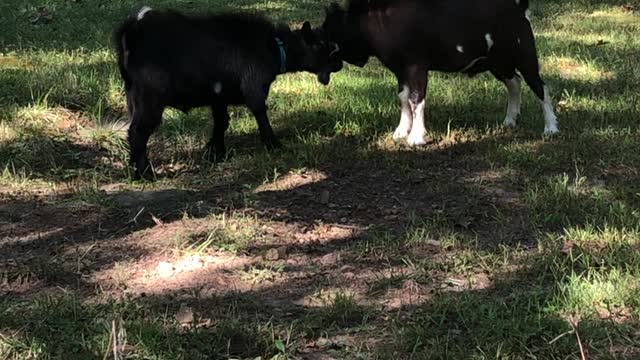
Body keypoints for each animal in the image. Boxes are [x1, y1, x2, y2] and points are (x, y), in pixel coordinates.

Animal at [115, 6, 344, 179]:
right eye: (319, 44)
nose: (339, 62)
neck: (272, 46)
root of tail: (133, 29)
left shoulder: (219, 96)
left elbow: (221, 122)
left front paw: (216, 152)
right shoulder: (253, 88)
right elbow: (261, 116)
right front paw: (274, 144)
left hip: (133, 98)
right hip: (150, 99)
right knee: (138, 132)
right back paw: (145, 173)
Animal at [322, 0, 556, 146]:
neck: (381, 19)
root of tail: (518, 8)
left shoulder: (416, 67)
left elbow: (416, 100)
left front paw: (416, 137)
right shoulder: (400, 71)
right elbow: (403, 98)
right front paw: (401, 131)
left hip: (524, 55)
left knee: (540, 87)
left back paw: (551, 127)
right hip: (498, 63)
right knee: (514, 82)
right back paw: (510, 120)